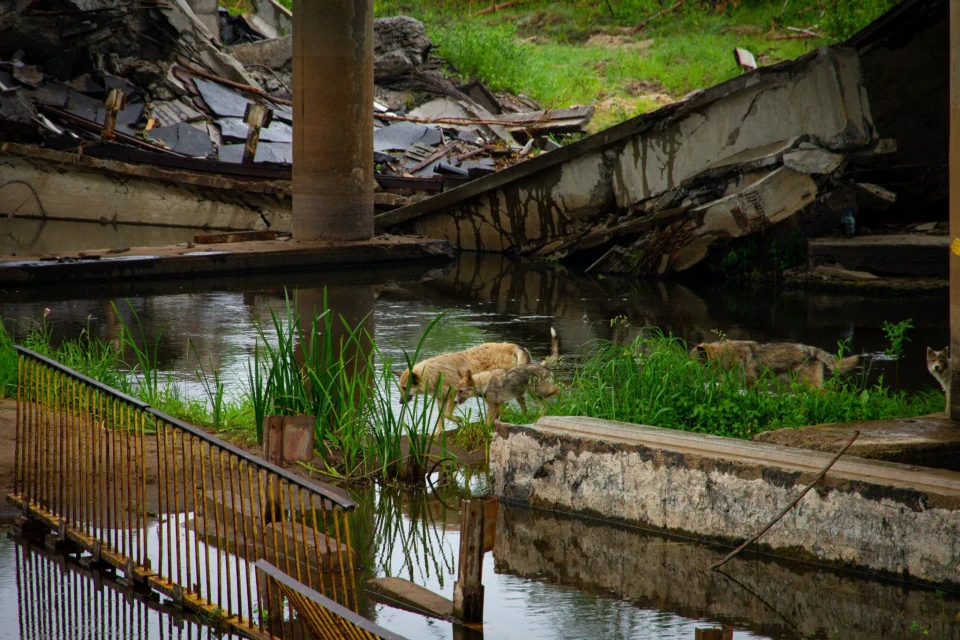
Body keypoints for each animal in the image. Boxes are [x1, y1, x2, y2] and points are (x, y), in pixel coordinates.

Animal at [398, 340, 532, 436]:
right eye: (401, 388)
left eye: (405, 388)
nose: (400, 402)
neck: (435, 373)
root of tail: (510, 346)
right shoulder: (441, 398)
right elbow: (441, 416)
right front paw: (438, 431)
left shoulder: (453, 394)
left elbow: (447, 414)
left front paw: (459, 419)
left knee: (499, 408)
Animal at [688, 340, 864, 390]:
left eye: (692, 361)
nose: (684, 368)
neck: (726, 354)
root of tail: (812, 349)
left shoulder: (751, 382)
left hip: (808, 385)